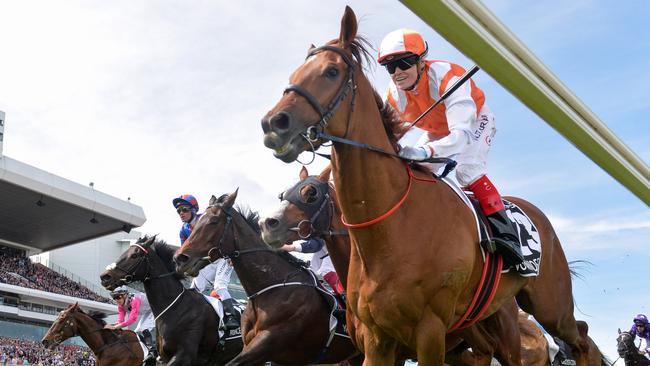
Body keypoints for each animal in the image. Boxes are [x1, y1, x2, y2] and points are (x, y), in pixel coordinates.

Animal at [172, 196, 362, 366]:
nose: (180, 258)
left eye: (213, 221)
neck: (270, 287)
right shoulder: (254, 348)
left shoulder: (266, 344)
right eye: (196, 224)